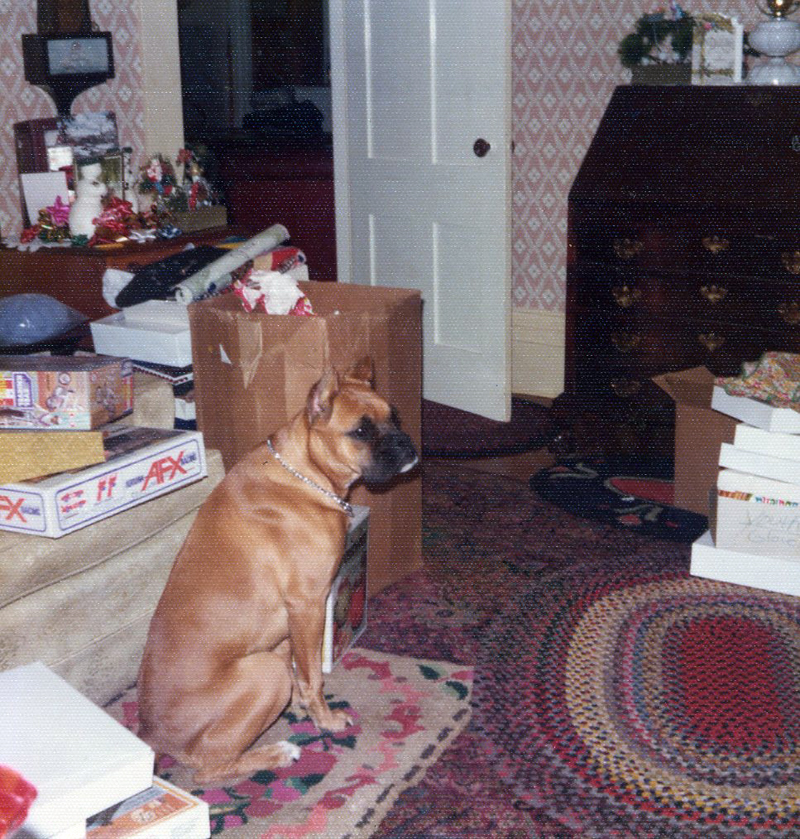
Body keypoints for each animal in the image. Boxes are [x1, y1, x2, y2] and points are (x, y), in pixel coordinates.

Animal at [136, 358, 418, 784]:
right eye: (361, 431)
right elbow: (313, 674)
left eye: (395, 416)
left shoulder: (291, 623)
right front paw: (325, 719)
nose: (406, 445)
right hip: (264, 674)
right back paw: (277, 753)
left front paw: (301, 706)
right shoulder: (308, 606)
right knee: (208, 768)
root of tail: (150, 734)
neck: (305, 475)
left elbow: (298, 665)